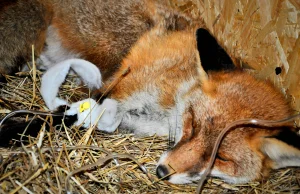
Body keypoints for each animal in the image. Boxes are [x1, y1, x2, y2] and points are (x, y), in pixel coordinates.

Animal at [0, 0, 300, 186]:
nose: (162, 171)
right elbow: (55, 119)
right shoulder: (114, 92)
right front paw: (12, 131)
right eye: (193, 126)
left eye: (221, 158)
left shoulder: (124, 119)